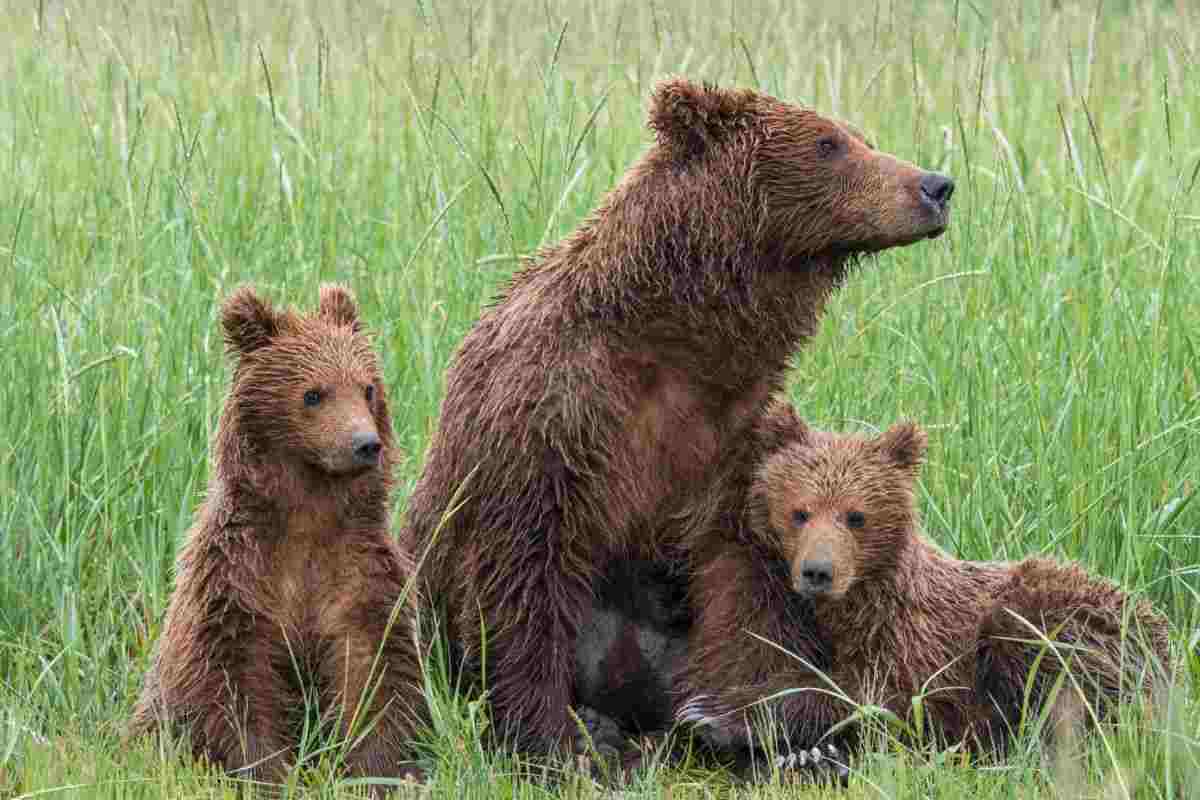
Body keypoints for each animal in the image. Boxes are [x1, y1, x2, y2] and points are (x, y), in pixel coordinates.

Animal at [403, 77, 955, 753]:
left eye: (863, 137)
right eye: (830, 143)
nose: (936, 185)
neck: (678, 341)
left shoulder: (729, 440)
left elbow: (741, 581)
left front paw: (739, 718)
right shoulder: (553, 414)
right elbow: (523, 569)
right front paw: (557, 737)